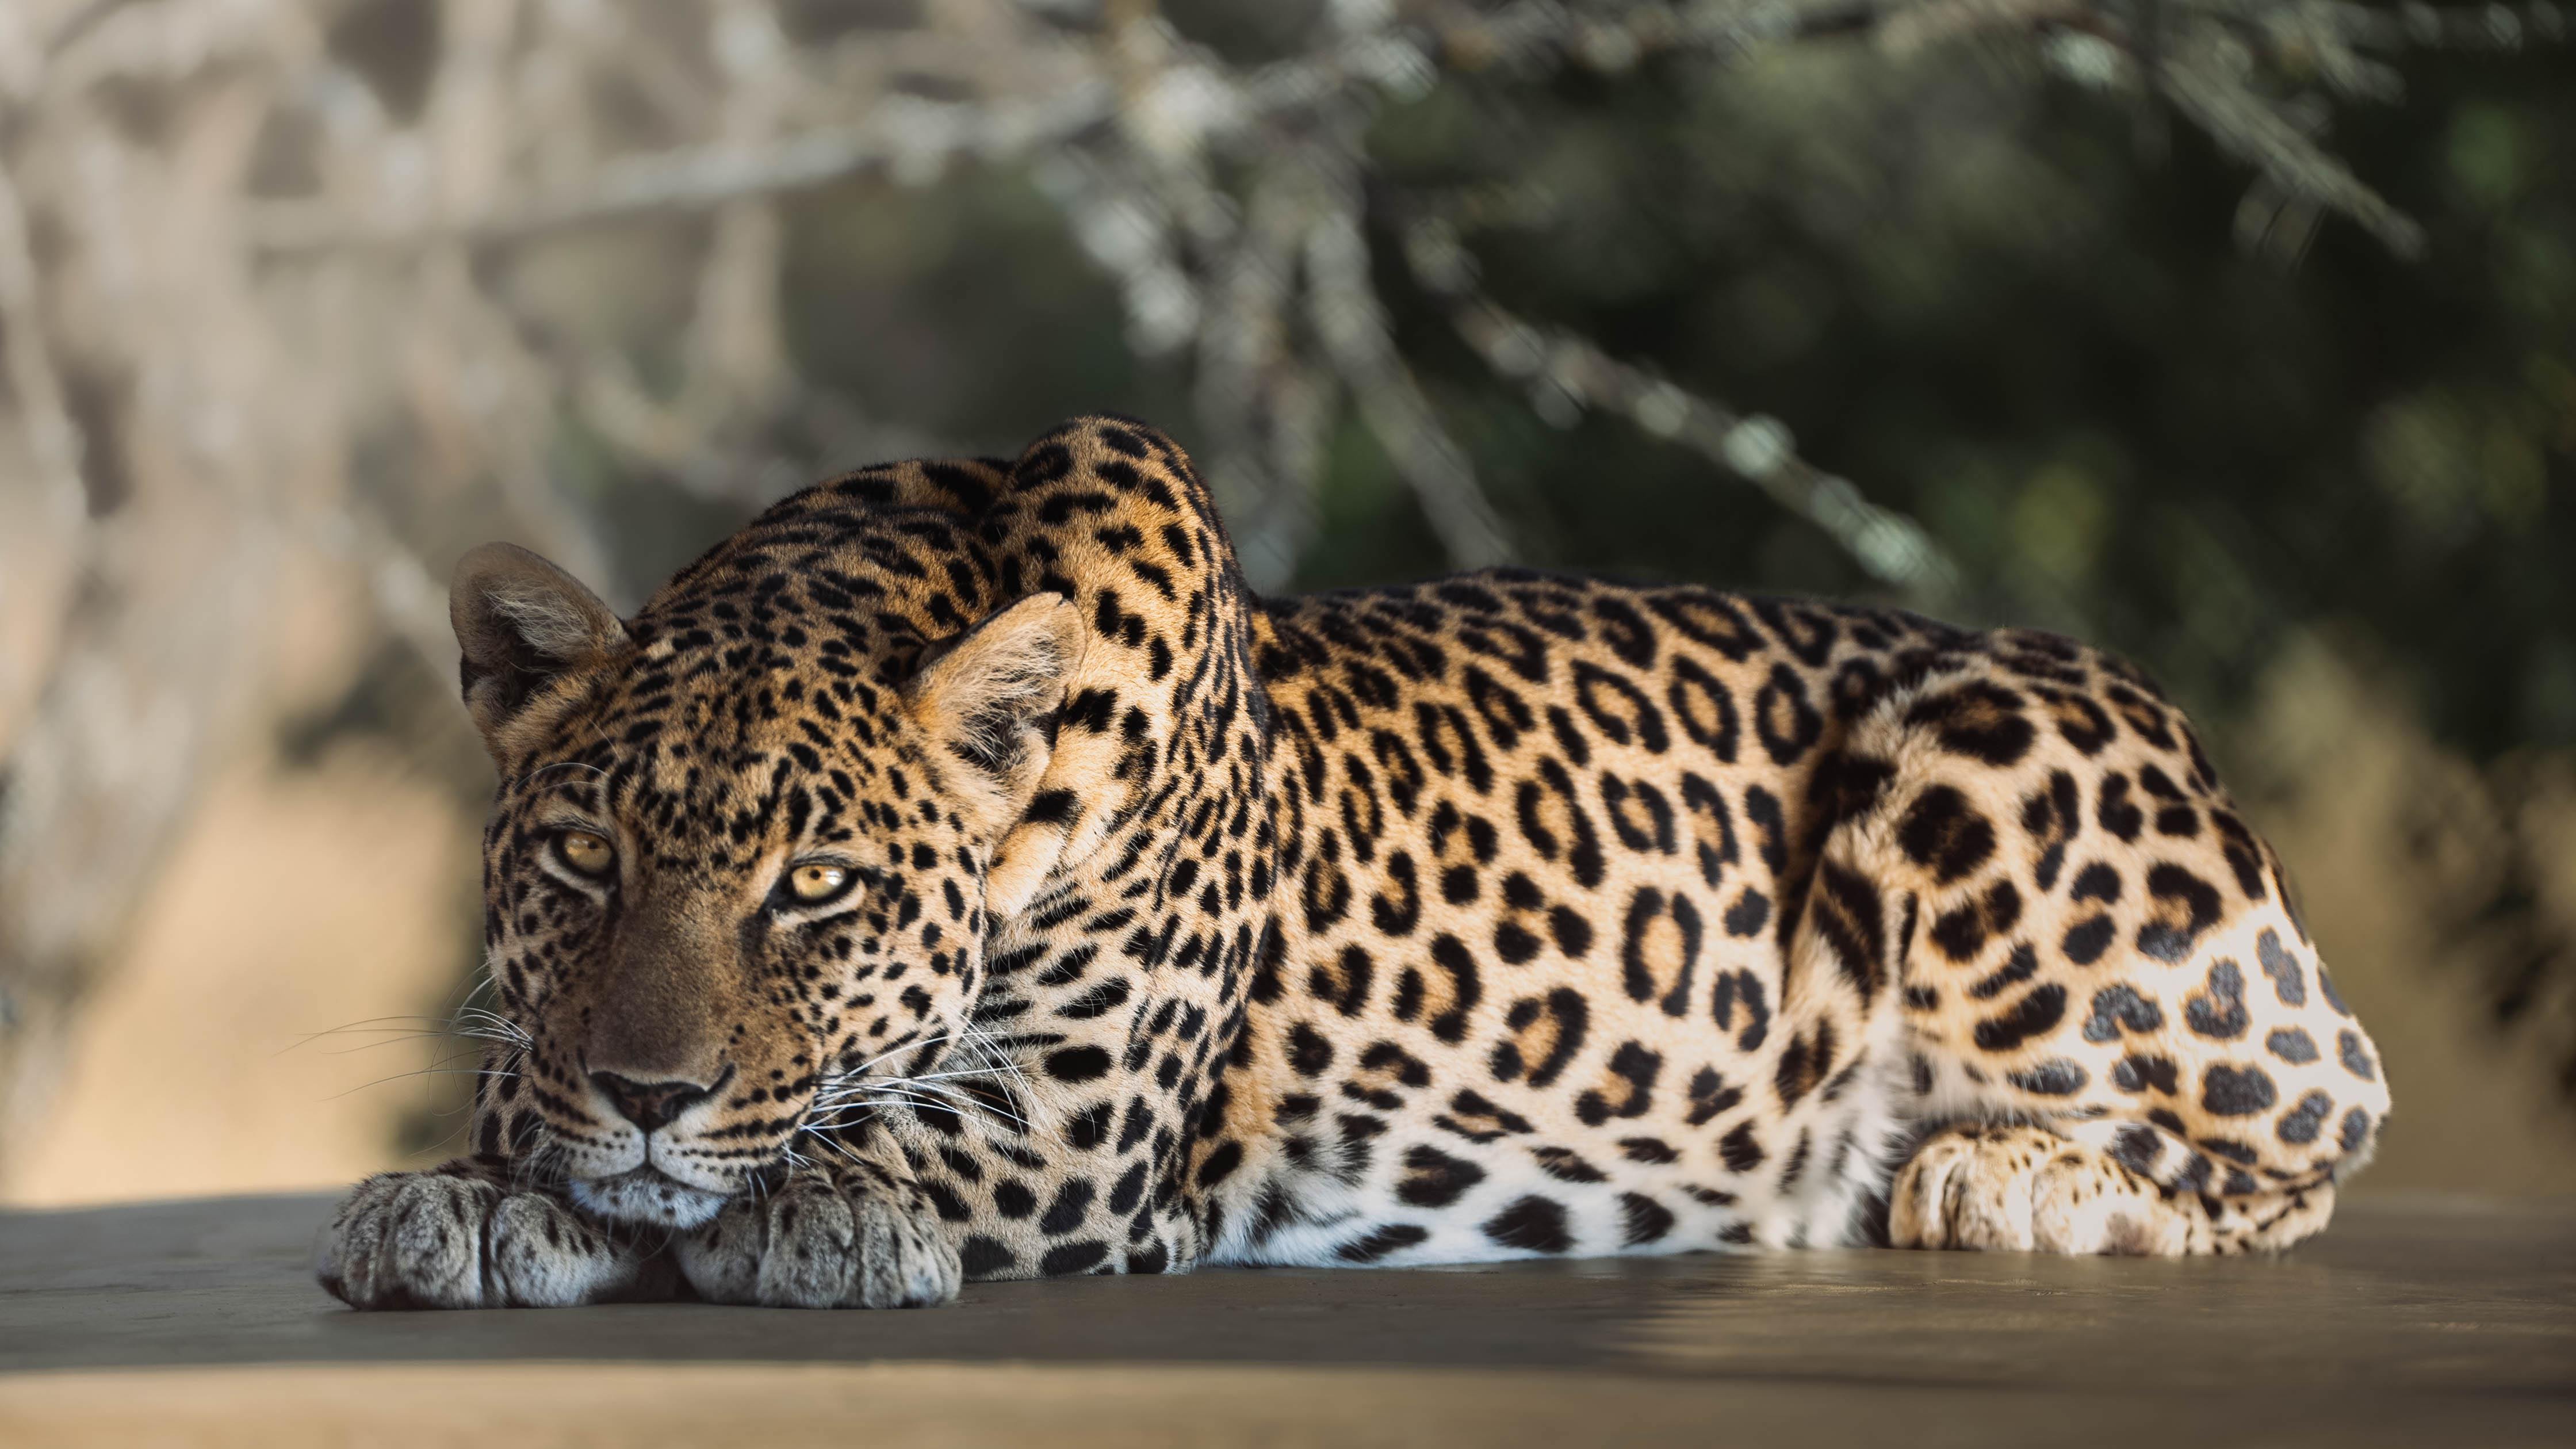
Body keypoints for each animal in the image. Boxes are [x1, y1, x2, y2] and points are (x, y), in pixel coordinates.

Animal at [317, 415, 2390, 1310]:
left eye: (816, 885)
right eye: (579, 854)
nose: (647, 1087)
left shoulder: (1084, 1130)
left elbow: (860, 1132)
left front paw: (809, 1204)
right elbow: (541, 1125)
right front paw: (469, 1195)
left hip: (1976, 757)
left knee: (2318, 1132)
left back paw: (2003, 1177)